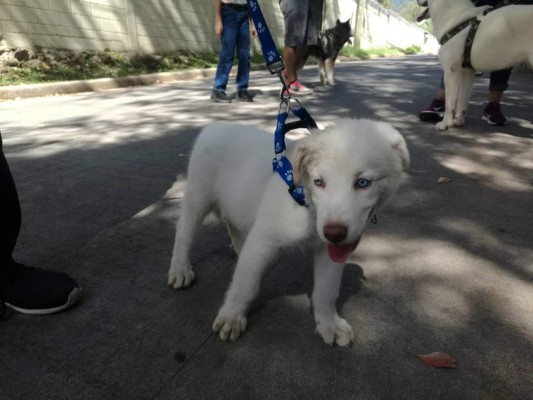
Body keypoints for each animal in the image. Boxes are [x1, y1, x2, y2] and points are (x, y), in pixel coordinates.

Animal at [168, 117, 410, 346]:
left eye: (363, 183)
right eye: (318, 182)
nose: (335, 233)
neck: (307, 205)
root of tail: (216, 126)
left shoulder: (329, 250)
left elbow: (327, 290)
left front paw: (329, 323)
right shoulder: (263, 239)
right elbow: (245, 284)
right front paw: (232, 316)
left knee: (232, 223)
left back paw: (238, 248)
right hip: (197, 196)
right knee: (184, 233)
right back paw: (180, 270)